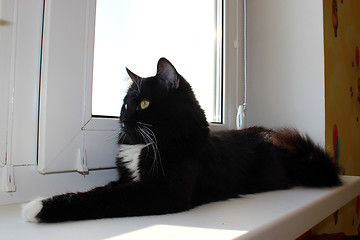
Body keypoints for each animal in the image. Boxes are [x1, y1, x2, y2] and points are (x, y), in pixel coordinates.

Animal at [22, 57, 340, 223]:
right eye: (125, 104)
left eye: (144, 104)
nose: (122, 119)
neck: (149, 143)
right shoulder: (126, 178)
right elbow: (99, 190)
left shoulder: (164, 190)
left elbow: (104, 198)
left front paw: (36, 207)